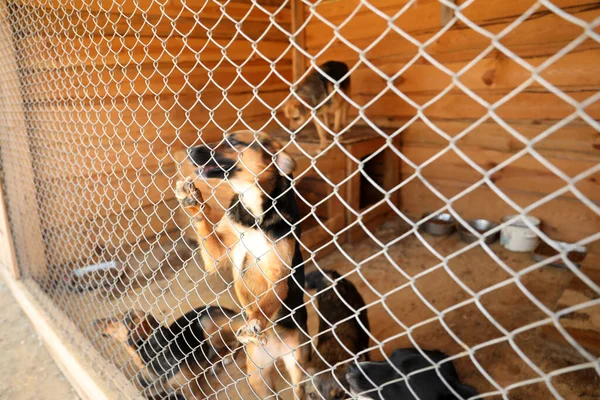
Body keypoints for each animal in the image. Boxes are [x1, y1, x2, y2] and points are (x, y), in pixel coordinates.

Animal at [96, 306, 241, 396]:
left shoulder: (192, 393)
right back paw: (215, 364)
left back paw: (226, 359)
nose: (95, 321)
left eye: (115, 319)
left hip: (208, 328)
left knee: (237, 339)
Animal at [175, 130, 310, 398]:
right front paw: (192, 200)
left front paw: (256, 320)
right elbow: (205, 227)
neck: (254, 212)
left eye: (234, 141)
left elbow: (267, 302)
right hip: (256, 375)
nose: (189, 150)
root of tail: (275, 347)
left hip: (297, 367)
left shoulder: (278, 273)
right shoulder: (218, 253)